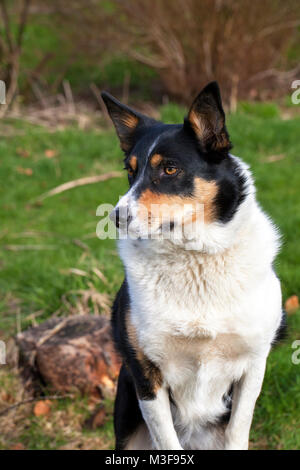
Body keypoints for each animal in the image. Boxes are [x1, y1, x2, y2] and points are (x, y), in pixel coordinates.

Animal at [101, 82, 286, 450]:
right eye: (130, 171)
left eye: (170, 169)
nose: (116, 217)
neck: (195, 258)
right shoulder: (145, 374)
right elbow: (167, 441)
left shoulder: (254, 365)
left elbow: (238, 430)